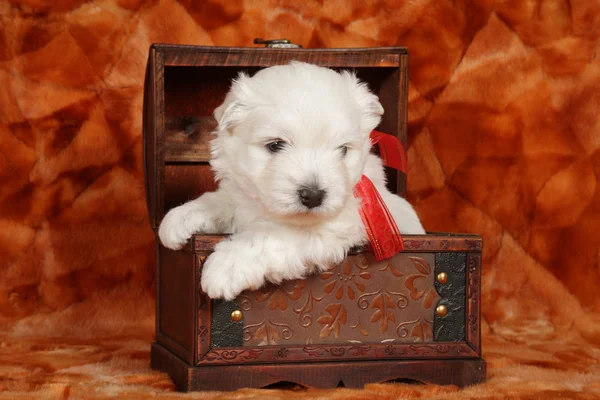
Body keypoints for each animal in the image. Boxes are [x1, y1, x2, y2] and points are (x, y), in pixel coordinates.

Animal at [157, 61, 424, 300]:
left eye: (342, 150)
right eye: (276, 145)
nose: (313, 195)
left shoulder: (331, 228)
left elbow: (269, 236)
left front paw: (226, 265)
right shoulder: (244, 192)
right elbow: (220, 200)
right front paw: (178, 218)